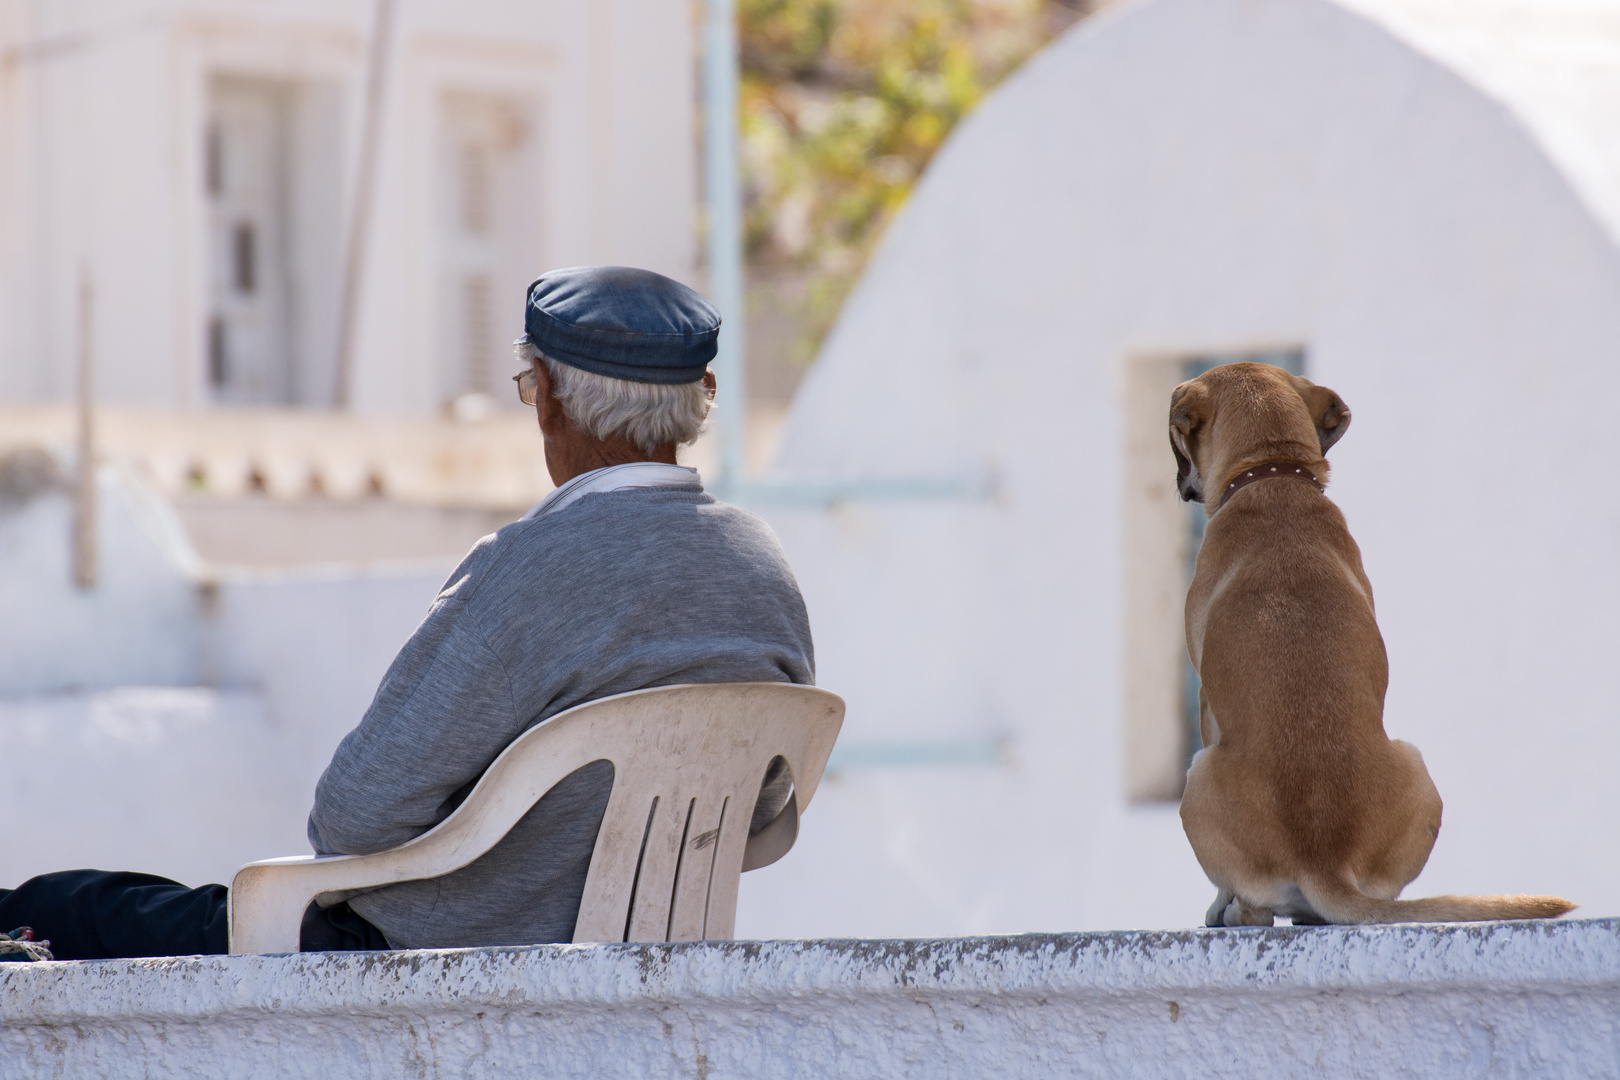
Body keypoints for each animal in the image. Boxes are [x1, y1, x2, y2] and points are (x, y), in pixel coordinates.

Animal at [1172, 365, 1574, 932]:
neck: (1273, 476)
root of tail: (1323, 861)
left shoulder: (1207, 703)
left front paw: (1215, 906)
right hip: (1416, 764)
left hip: (1197, 777)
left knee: (1256, 911)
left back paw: (1235, 911)